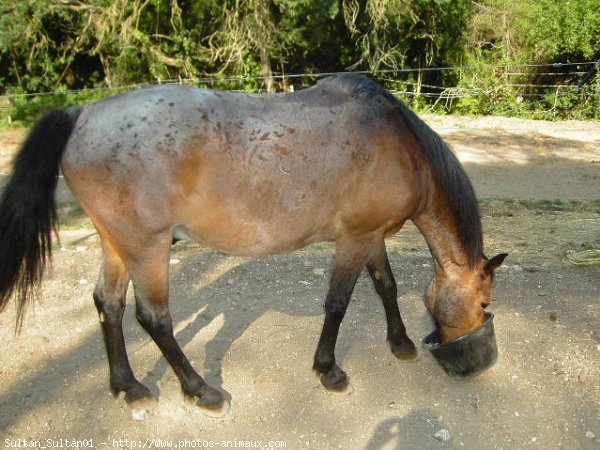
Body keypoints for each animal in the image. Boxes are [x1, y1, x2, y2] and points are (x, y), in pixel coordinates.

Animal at [0, 74, 506, 414]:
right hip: (147, 248)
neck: (399, 143)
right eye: (484, 304)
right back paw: (201, 391)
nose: (475, 359)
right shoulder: (356, 239)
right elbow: (338, 303)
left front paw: (400, 344)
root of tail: (80, 114)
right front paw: (329, 370)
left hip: (116, 244)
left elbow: (386, 286)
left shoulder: (370, 236)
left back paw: (128, 387)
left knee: (108, 304)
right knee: (154, 318)